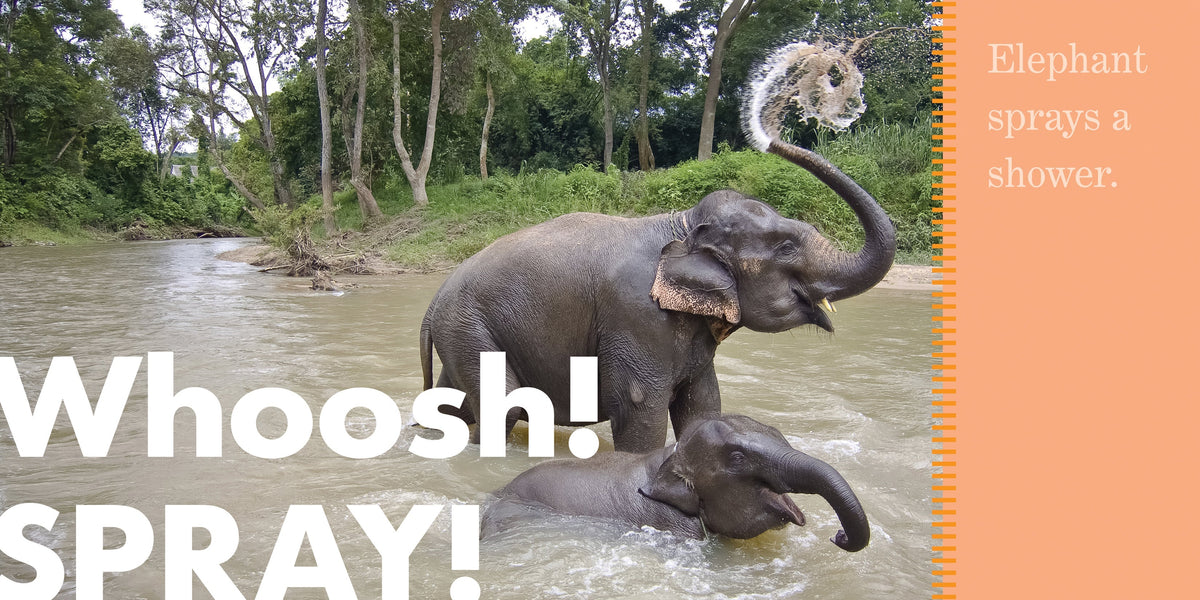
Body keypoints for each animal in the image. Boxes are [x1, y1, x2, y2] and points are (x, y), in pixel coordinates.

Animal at [420, 138, 896, 452]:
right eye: (787, 247)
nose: (769, 136)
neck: (681, 224)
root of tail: (432, 303)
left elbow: (702, 406)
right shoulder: (636, 317)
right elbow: (640, 407)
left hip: (463, 333)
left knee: (454, 402)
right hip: (469, 328)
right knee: (501, 407)